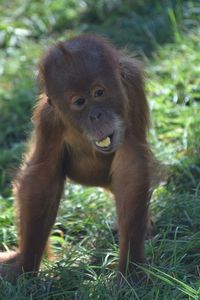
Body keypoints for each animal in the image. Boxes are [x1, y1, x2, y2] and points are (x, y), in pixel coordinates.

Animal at [0, 34, 154, 282]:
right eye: (80, 102)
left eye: (99, 93)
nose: (96, 115)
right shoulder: (49, 120)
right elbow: (41, 178)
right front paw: (25, 267)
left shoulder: (132, 90)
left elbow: (131, 165)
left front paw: (131, 269)